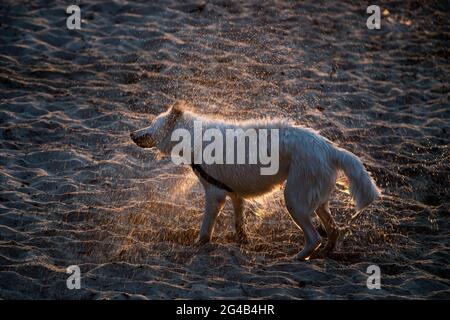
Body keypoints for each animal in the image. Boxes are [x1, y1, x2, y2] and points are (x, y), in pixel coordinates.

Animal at [130, 102, 380, 260]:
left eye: (151, 125)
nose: (132, 134)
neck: (195, 136)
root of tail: (329, 148)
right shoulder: (234, 192)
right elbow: (239, 221)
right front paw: (242, 240)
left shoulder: (215, 194)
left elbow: (205, 228)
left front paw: (200, 244)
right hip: (316, 199)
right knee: (334, 230)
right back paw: (325, 253)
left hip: (294, 199)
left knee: (314, 237)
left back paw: (297, 258)